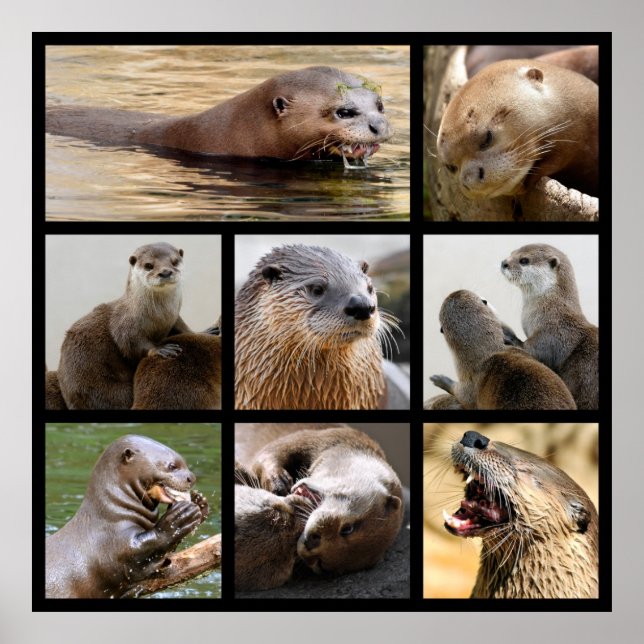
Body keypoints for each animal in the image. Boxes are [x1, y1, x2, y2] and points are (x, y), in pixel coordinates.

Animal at [46, 435, 208, 598]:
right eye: (172, 466)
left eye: (185, 464)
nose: (192, 478)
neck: (114, 512)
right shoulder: (112, 545)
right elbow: (139, 553)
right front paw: (179, 519)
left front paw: (199, 503)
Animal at [56, 242, 190, 410]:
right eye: (149, 265)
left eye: (174, 261)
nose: (165, 272)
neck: (160, 316)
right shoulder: (124, 324)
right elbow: (130, 343)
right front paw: (160, 349)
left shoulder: (174, 318)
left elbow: (182, 327)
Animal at [236, 424, 404, 577]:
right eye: (347, 529)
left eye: (321, 565)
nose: (310, 544)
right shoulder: (321, 438)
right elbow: (267, 454)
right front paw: (278, 482)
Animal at [501, 244, 599, 409]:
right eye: (512, 253)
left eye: (524, 260)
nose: (504, 263)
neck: (551, 309)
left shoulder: (555, 333)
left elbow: (536, 352)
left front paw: (510, 337)